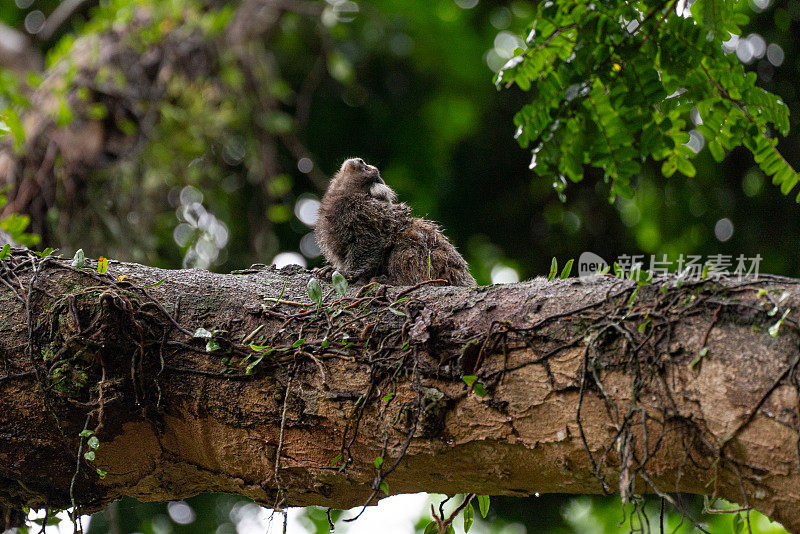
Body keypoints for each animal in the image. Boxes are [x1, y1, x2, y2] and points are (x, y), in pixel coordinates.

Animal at [314, 157, 476, 286]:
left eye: (366, 168)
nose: (360, 161)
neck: (343, 194)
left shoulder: (359, 211)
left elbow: (371, 242)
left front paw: (347, 273)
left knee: (405, 244)